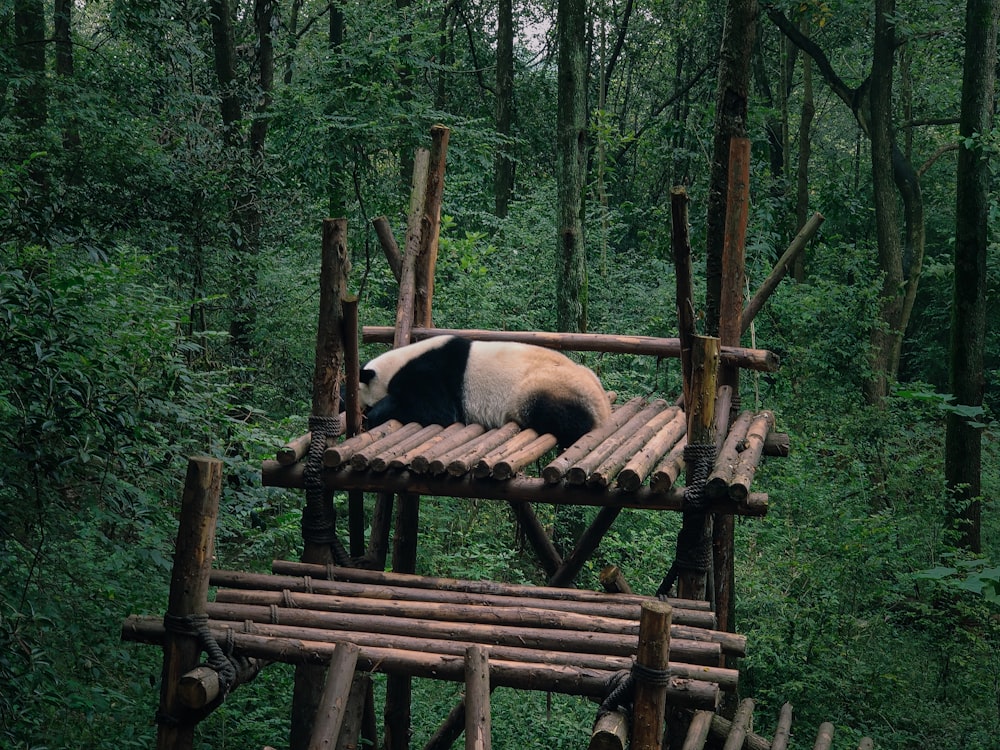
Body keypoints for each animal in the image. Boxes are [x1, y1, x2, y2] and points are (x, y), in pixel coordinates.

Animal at [358, 338, 608, 450]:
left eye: (366, 404)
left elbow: (437, 411)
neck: (396, 364)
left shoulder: (431, 373)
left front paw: (376, 414)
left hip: (545, 385)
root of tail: (603, 407)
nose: (364, 413)